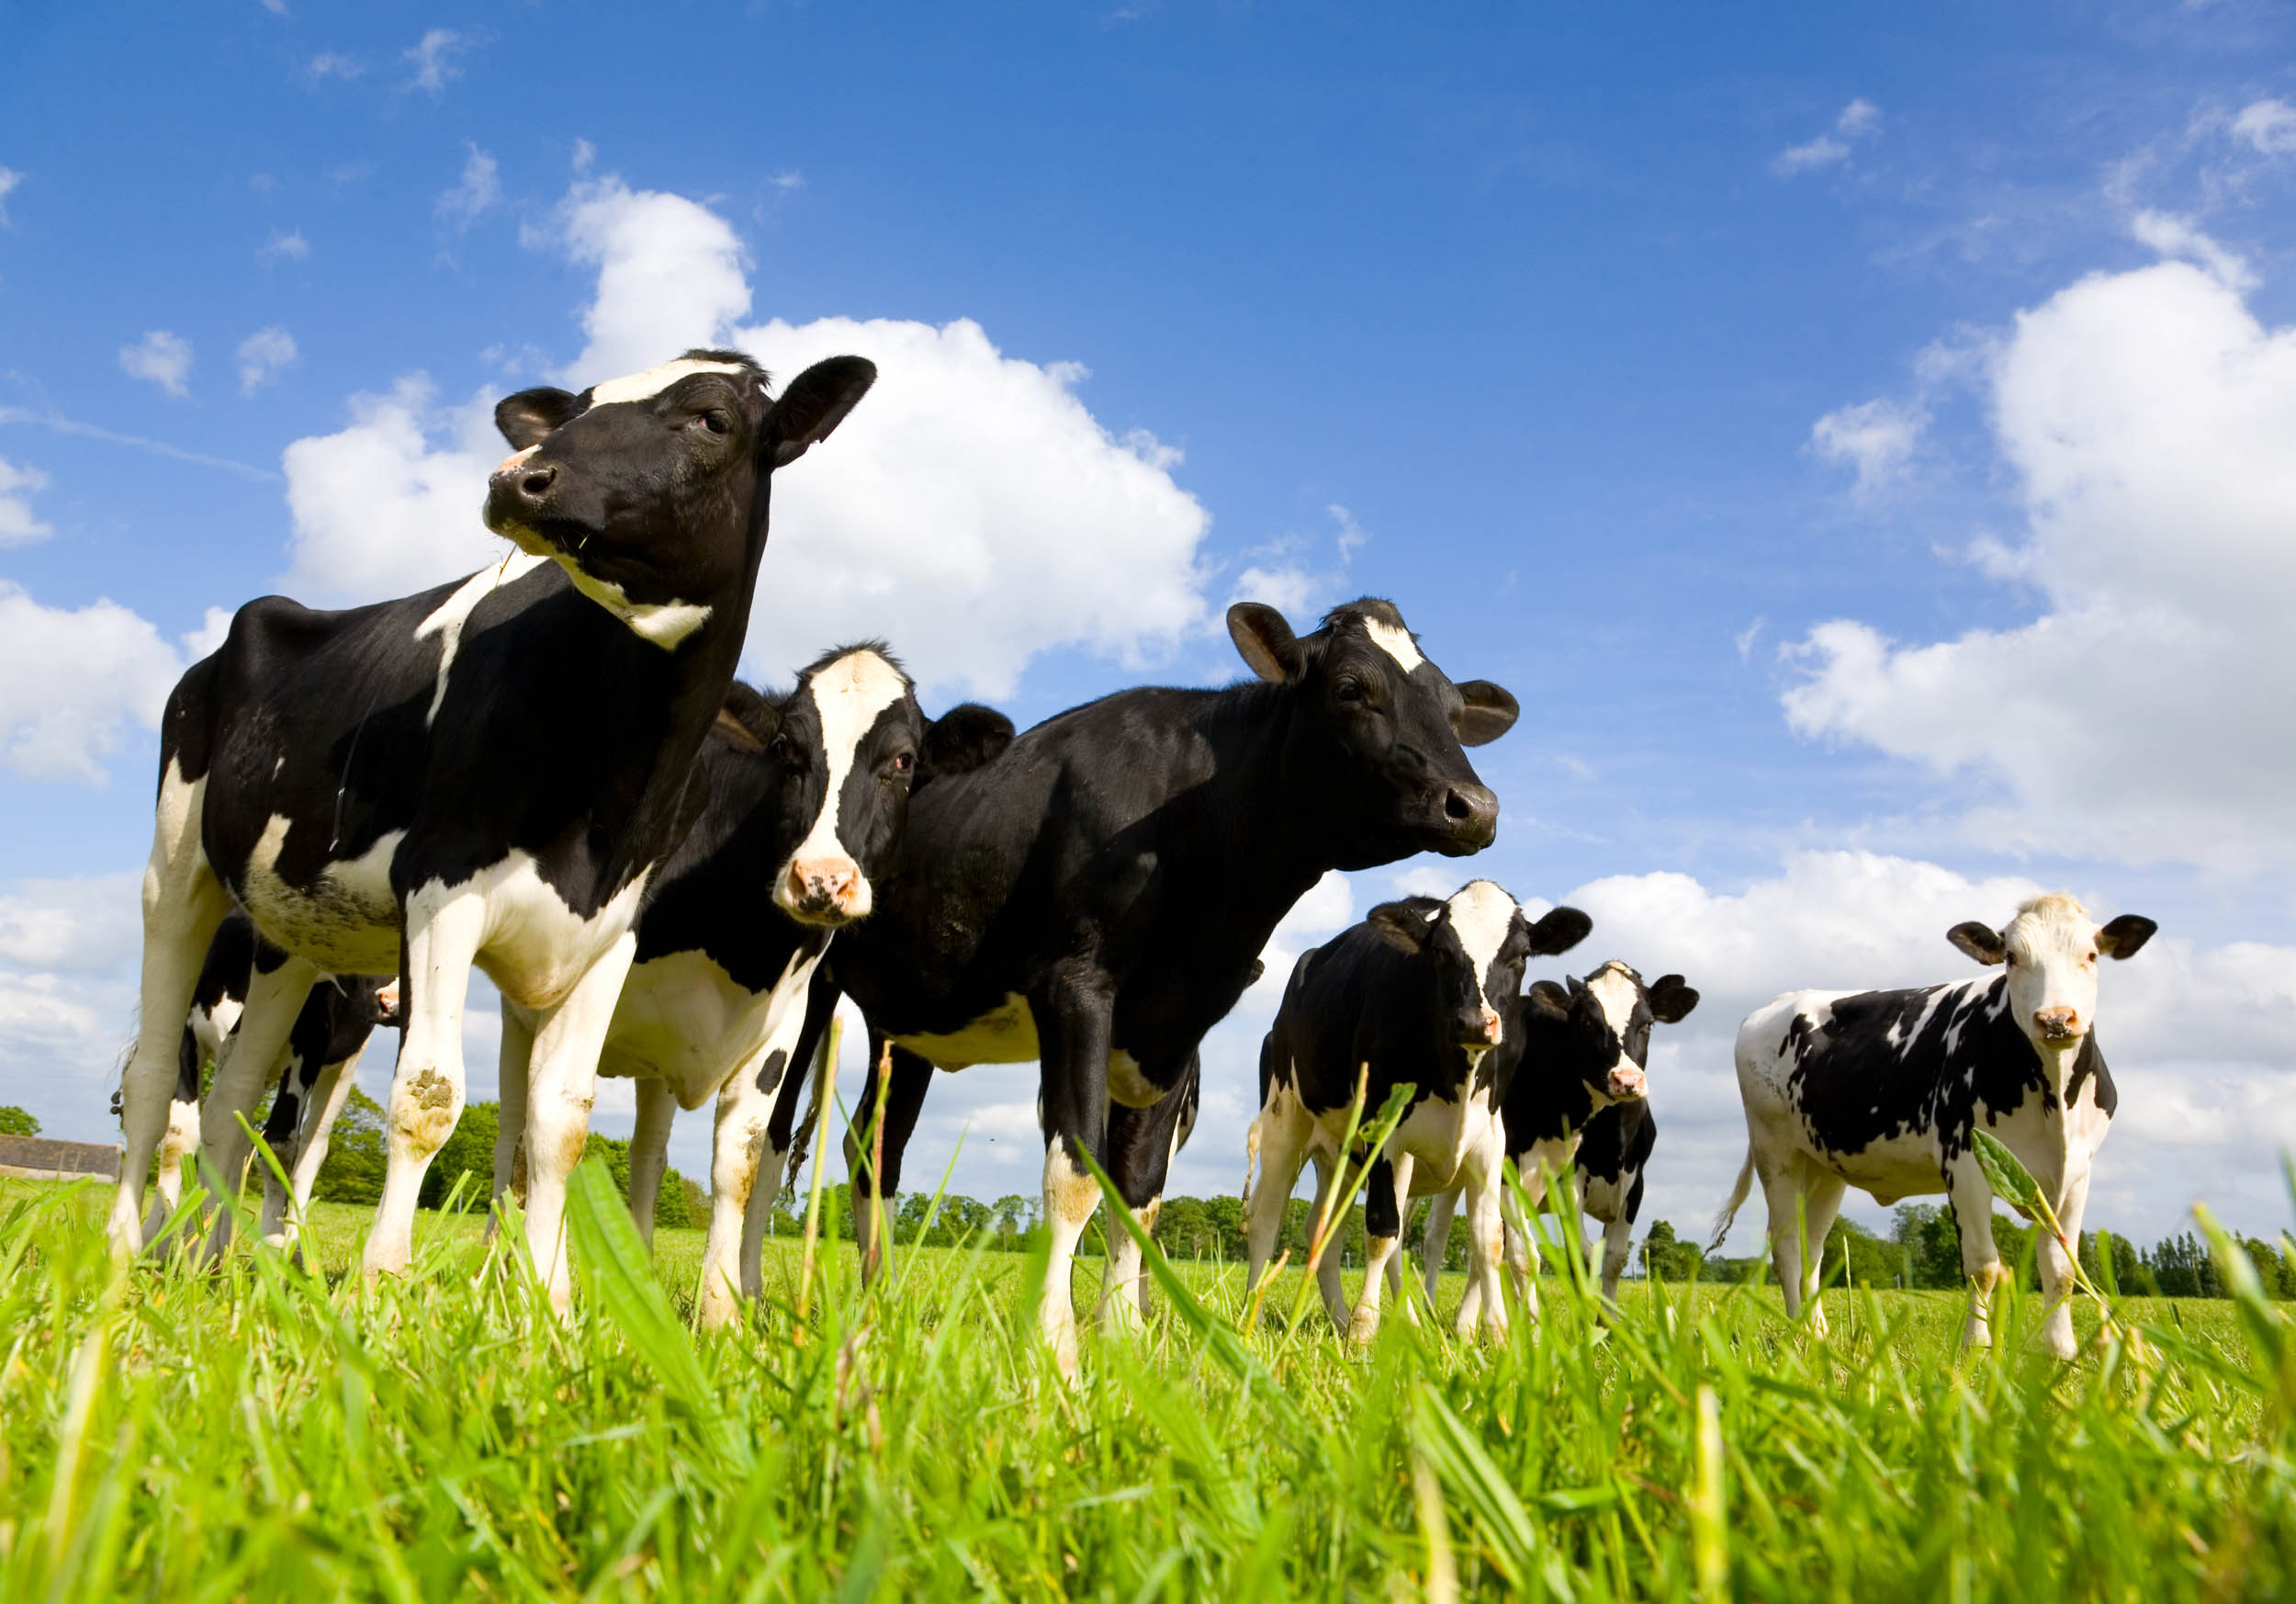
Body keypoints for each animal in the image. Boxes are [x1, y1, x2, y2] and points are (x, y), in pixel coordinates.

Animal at [108, 346, 877, 1313]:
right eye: (576, 409)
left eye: (712, 419)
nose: (519, 477)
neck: (617, 773)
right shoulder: (441, 892)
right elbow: (428, 1098)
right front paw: (383, 1286)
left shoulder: (609, 934)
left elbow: (560, 1123)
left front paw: (550, 1306)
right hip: (176, 871)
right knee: (152, 1080)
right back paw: (122, 1250)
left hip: (289, 935)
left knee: (236, 1100)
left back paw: (202, 1264)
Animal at [763, 598, 1521, 1375]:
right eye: (1351, 689)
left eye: (1453, 708)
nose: (1476, 806)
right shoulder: (1076, 986)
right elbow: (1076, 1172)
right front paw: (1056, 1344)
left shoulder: (1178, 1026)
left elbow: (1141, 1188)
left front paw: (1125, 1338)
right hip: (809, 975)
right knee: (773, 1133)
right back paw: (754, 1295)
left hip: (911, 1021)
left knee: (873, 1149)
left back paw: (877, 1298)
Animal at [1242, 881, 1592, 1341]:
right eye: (1441, 952)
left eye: (1520, 956)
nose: (1474, 1023)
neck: (1457, 1076)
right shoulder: (1384, 1132)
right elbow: (1381, 1231)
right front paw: (1364, 1330)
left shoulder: (1490, 1142)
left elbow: (1488, 1240)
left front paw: (1499, 1336)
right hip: (1287, 1121)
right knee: (1268, 1218)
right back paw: (1253, 1317)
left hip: (1343, 1157)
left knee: (1323, 1229)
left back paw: (1344, 1319)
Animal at [1418, 960, 1697, 1322]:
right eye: (1588, 1021)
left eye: (1647, 1023)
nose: (1627, 1080)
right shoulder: (1547, 1177)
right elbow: (1571, 1256)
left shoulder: (1635, 1184)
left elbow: (1612, 1259)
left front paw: (1607, 1325)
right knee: (1434, 1234)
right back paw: (1430, 1312)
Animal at [1709, 893, 2156, 1359]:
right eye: (2011, 957)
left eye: (2091, 955)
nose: (2055, 1019)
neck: (2054, 1103)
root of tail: (1774, 1005)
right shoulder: (1965, 1160)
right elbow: (1982, 1265)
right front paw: (1977, 1350)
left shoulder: (2076, 1174)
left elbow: (2062, 1267)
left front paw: (2061, 1352)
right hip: (1774, 1150)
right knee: (1787, 1246)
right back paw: (1798, 1335)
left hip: (1824, 1164)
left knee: (1813, 1249)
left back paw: (1818, 1334)